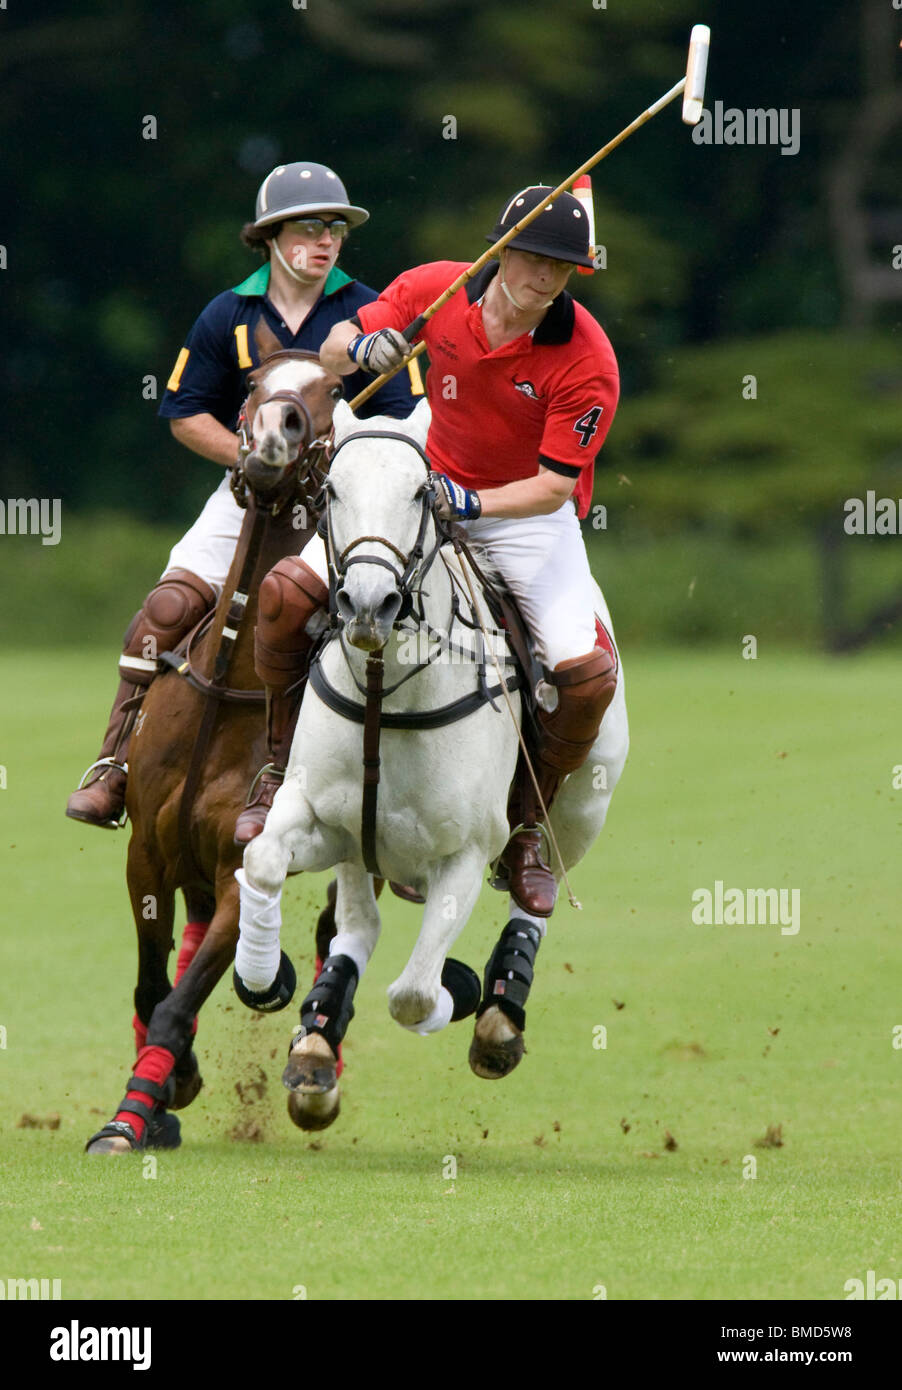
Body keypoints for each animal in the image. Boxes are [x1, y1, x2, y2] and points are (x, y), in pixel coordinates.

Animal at [85, 350, 344, 1162]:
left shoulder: (241, 864)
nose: (271, 438)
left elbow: (179, 995)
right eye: (255, 382)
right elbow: (153, 986)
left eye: (333, 388)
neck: (233, 686)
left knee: (333, 931)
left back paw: (315, 1066)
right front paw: (157, 1096)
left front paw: (133, 1114)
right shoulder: (145, 850)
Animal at [232, 400, 625, 1128]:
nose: (367, 604)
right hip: (363, 847)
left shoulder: (465, 854)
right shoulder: (324, 819)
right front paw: (263, 978)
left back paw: (499, 1005)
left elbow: (412, 994)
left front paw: (461, 987)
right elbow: (264, 858)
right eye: (330, 491)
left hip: (583, 808)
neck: (388, 689)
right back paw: (316, 1044)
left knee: (538, 891)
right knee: (360, 924)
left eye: (421, 492)